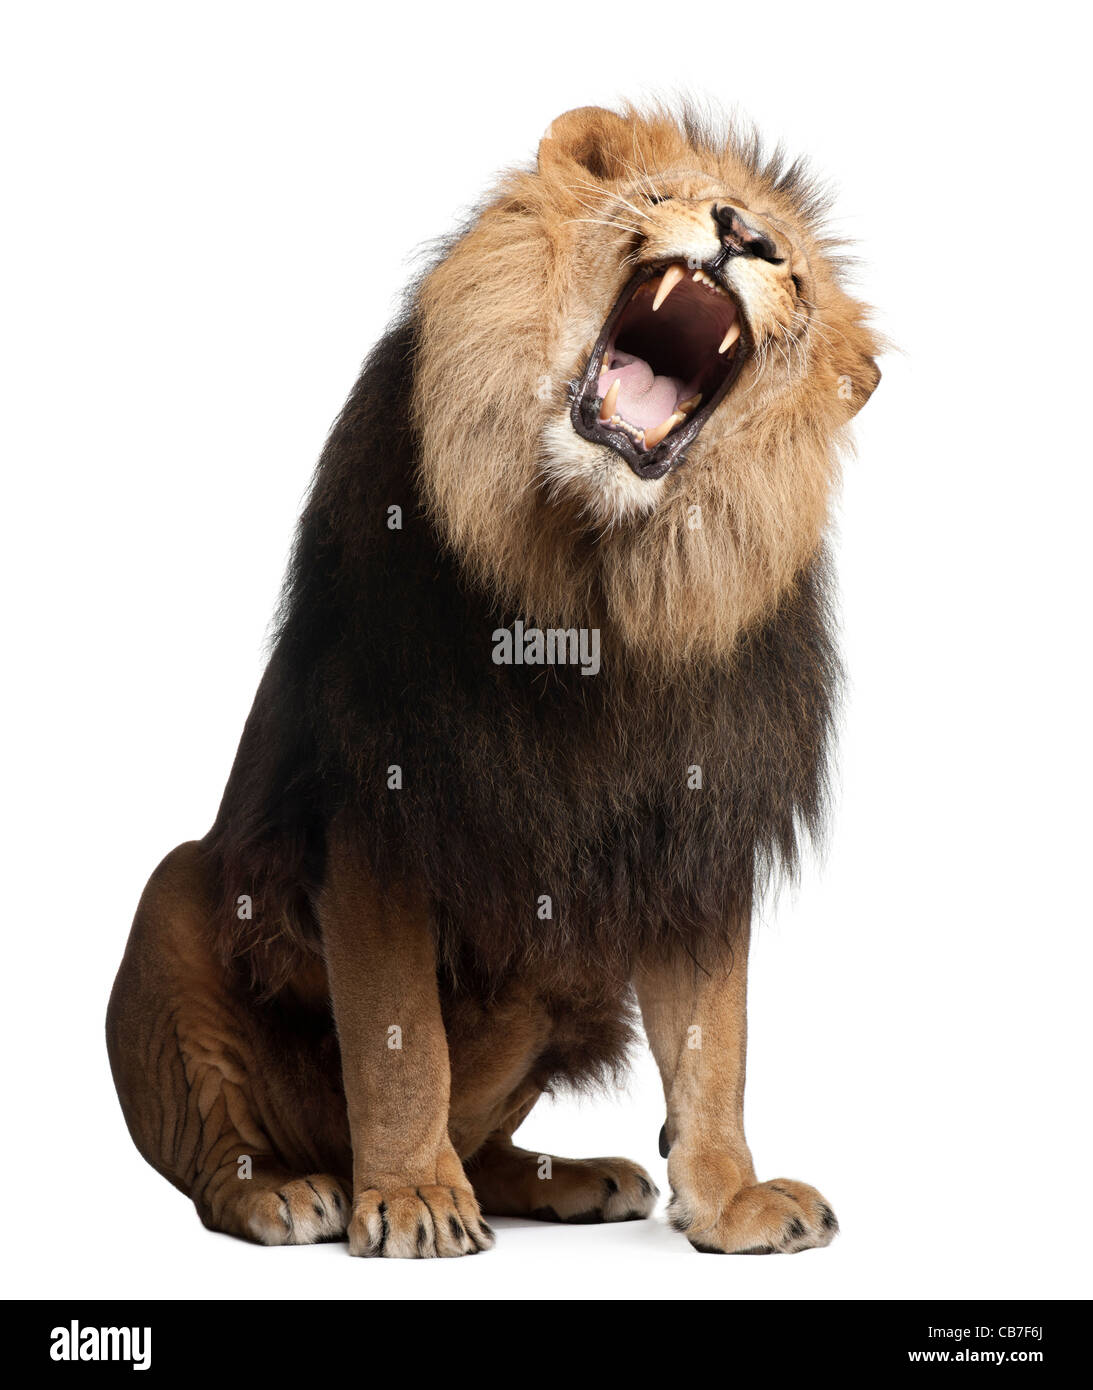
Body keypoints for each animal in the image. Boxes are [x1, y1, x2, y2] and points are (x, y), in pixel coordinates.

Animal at [106, 105, 878, 1262]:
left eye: (792, 270)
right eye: (663, 196)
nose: (743, 235)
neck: (591, 581)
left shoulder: (696, 833)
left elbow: (715, 1038)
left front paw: (731, 1199)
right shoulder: (380, 811)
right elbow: (399, 1041)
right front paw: (412, 1198)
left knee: (493, 1136)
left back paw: (567, 1176)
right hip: (170, 906)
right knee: (217, 1157)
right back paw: (292, 1190)